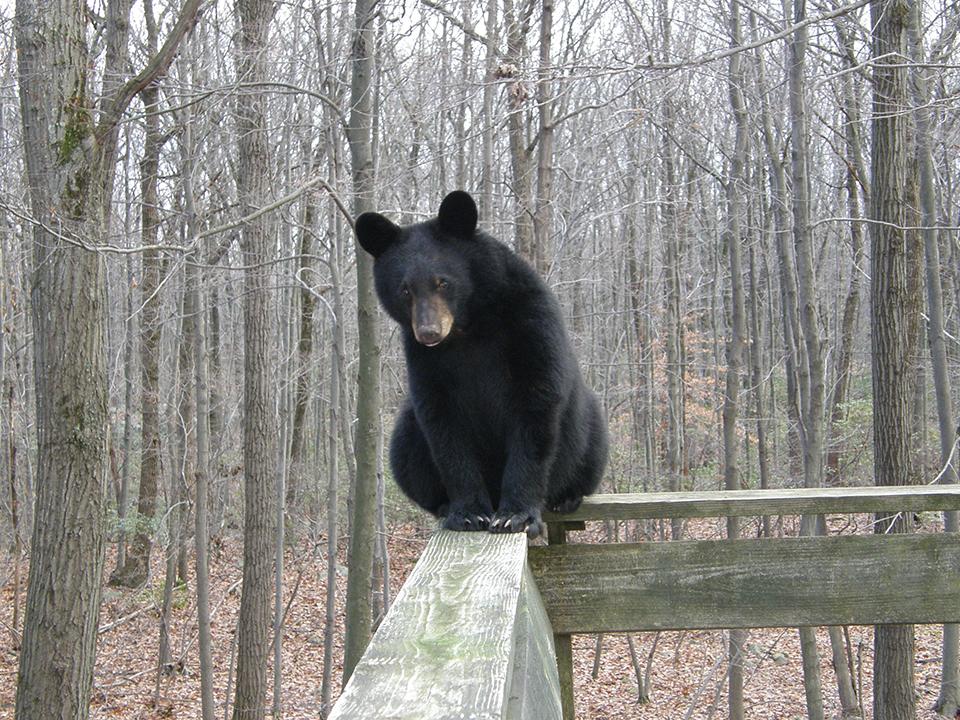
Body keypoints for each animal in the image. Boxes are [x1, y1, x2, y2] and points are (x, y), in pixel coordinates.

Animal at [352, 191, 608, 540]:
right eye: (404, 289)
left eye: (443, 282)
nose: (429, 332)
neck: (468, 327)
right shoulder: (423, 359)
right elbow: (443, 424)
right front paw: (468, 513)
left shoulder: (531, 323)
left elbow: (536, 408)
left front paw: (516, 516)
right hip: (407, 433)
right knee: (405, 448)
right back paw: (443, 504)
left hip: (588, 431)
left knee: (590, 448)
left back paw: (566, 497)